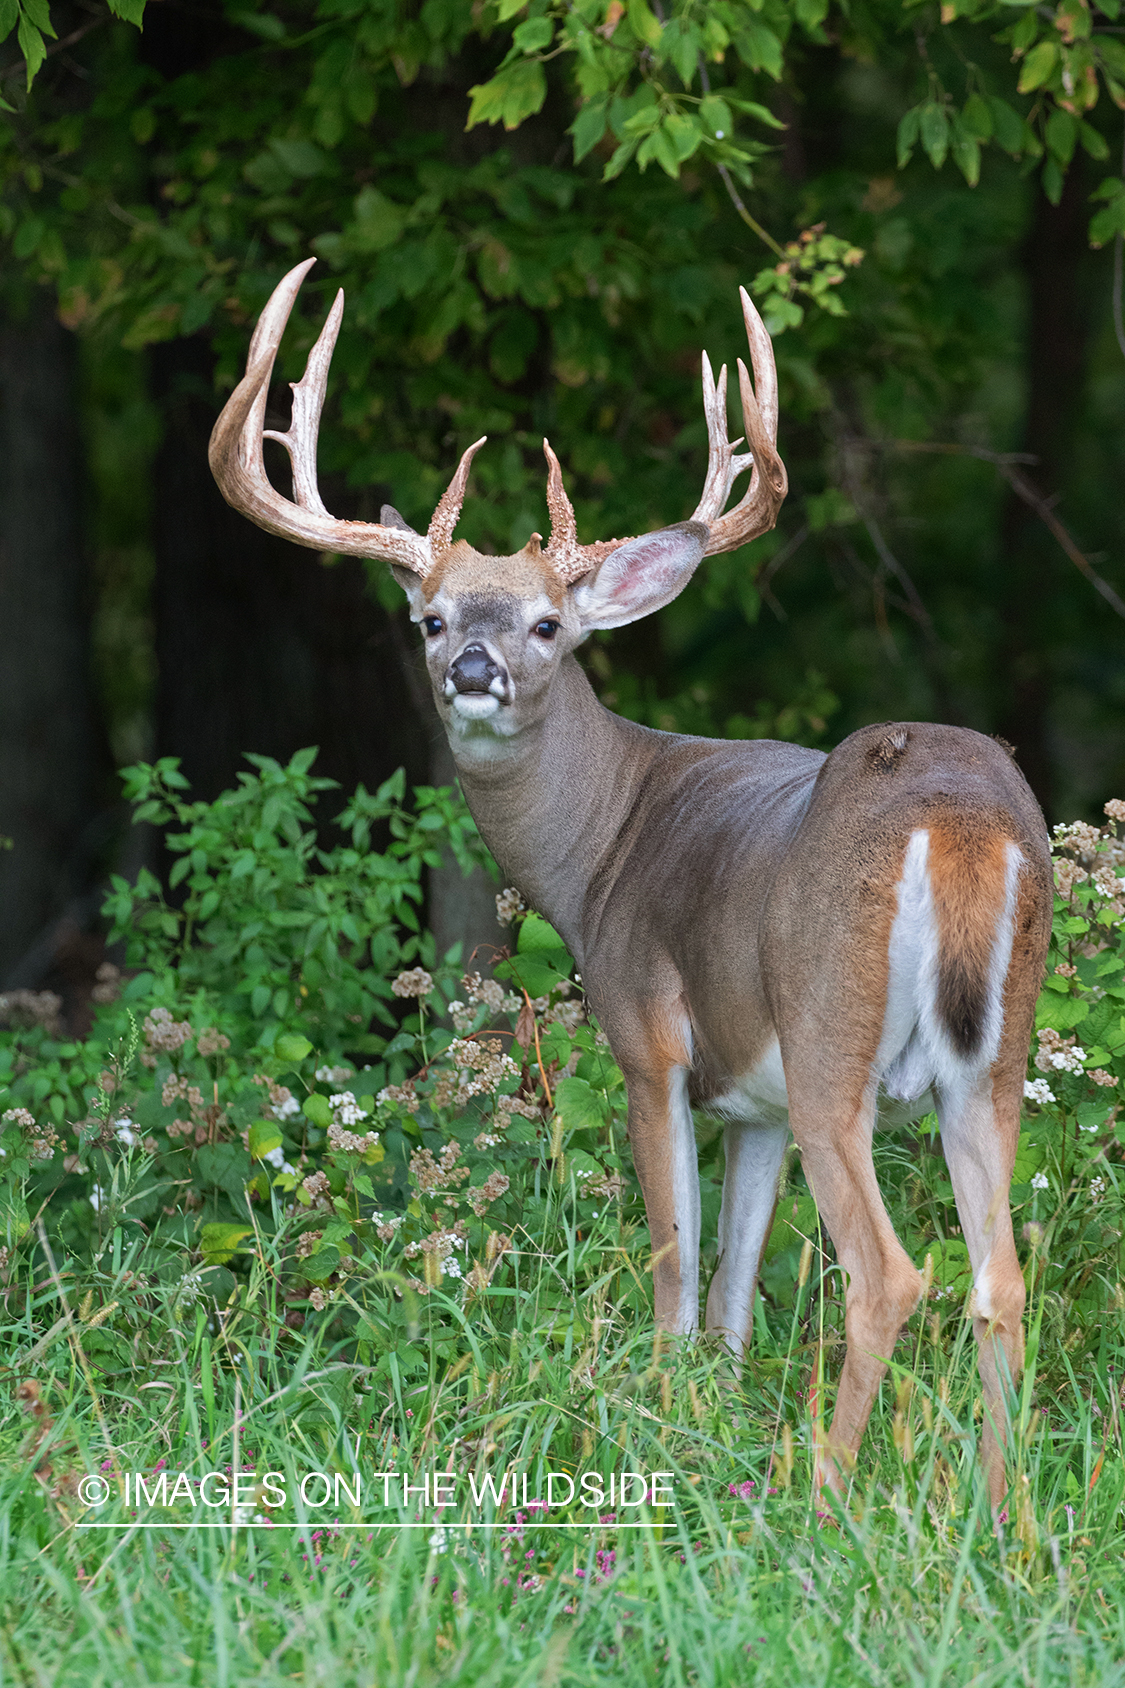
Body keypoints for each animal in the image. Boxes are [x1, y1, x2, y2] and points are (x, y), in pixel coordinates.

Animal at [207, 256, 1054, 1498]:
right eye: (431, 617)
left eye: (549, 624)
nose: (474, 668)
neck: (599, 849)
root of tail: (960, 825)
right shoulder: (753, 1099)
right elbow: (734, 1288)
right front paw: (713, 1406)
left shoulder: (651, 1037)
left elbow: (676, 1266)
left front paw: (654, 1414)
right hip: (988, 1061)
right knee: (1000, 1279)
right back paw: (1000, 1509)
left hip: (832, 1033)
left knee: (891, 1273)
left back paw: (826, 1491)